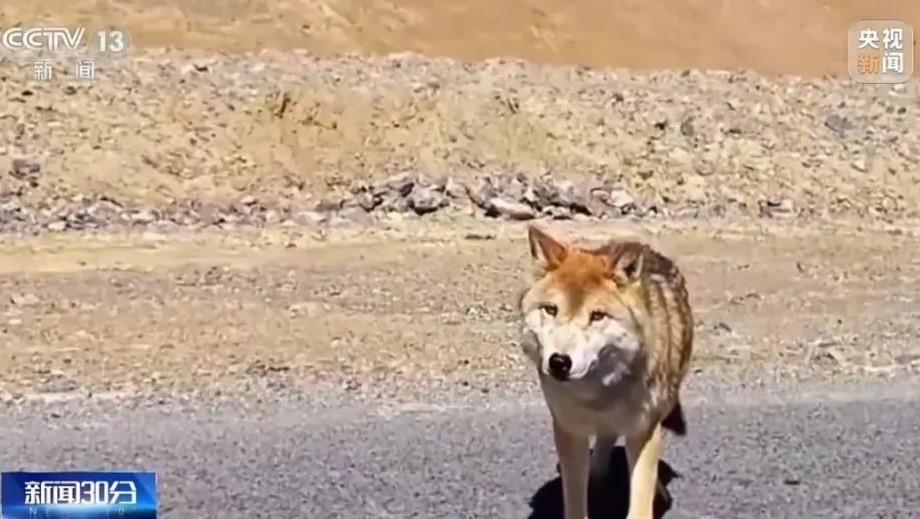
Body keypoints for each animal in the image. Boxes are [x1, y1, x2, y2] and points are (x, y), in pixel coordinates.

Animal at [516, 225, 696, 519]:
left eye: (597, 315)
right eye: (551, 309)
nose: (559, 362)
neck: (598, 393)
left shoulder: (642, 429)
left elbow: (640, 500)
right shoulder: (569, 431)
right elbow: (575, 500)